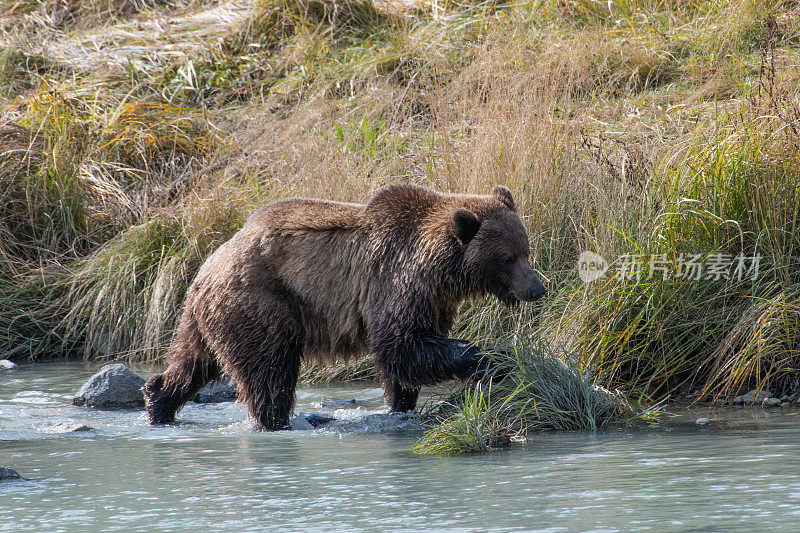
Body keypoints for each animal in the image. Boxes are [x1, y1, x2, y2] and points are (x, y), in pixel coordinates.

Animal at [144, 183, 548, 428]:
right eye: (508, 257)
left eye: (526, 250)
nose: (537, 288)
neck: (441, 272)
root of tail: (208, 265)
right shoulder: (395, 281)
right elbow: (403, 346)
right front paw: (493, 359)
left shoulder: (433, 301)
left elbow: (406, 358)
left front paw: (401, 402)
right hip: (260, 304)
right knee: (269, 374)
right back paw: (277, 421)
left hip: (208, 315)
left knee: (193, 362)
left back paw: (158, 401)